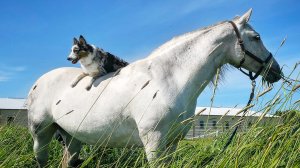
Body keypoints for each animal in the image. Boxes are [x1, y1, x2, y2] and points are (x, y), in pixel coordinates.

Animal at [27, 9, 282, 168]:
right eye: (256, 37)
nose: (276, 70)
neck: (168, 79)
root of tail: (39, 82)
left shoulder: (172, 142)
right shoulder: (154, 143)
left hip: (72, 138)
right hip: (41, 134)